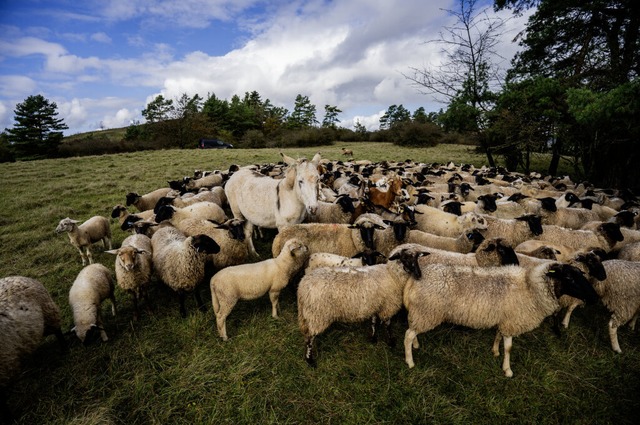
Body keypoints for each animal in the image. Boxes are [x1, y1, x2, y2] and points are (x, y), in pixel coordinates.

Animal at [296, 242, 430, 364]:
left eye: (417, 258)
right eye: (404, 258)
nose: (419, 274)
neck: (392, 275)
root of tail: (302, 286)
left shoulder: (376, 304)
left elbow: (374, 322)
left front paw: (373, 338)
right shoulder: (387, 306)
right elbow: (387, 325)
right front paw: (391, 342)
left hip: (308, 315)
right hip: (317, 315)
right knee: (309, 338)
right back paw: (310, 360)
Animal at [404, 260, 600, 376]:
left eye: (581, 275)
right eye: (569, 278)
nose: (594, 298)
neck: (531, 287)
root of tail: (413, 279)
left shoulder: (505, 319)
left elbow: (498, 336)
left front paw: (495, 351)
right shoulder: (512, 321)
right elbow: (509, 348)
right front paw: (507, 370)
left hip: (422, 313)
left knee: (413, 331)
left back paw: (416, 345)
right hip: (428, 312)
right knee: (407, 335)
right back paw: (410, 361)